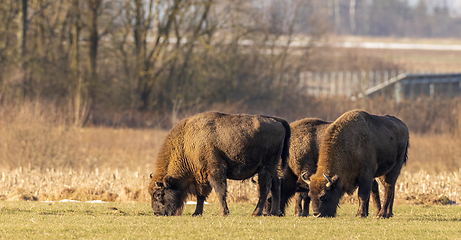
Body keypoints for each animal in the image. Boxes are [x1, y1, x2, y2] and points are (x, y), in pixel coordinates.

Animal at [149, 111, 290, 217]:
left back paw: (256, 213)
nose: (157, 213)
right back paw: (275, 213)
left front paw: (224, 213)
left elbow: (220, 191)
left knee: (265, 187)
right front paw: (196, 213)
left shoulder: (215, 171)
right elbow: (201, 195)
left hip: (266, 167)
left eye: (159, 194)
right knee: (276, 184)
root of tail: (277, 120)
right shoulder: (200, 176)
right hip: (272, 168)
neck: (186, 144)